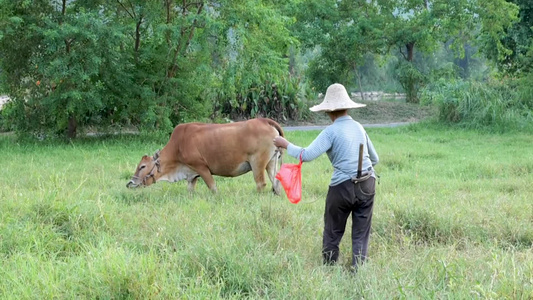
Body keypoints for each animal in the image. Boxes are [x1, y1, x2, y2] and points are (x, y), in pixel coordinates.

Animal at [125, 118, 282, 193]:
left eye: (142, 166)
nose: (130, 183)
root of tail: (264, 120)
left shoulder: (201, 167)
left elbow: (213, 188)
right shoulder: (192, 175)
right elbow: (190, 189)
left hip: (257, 163)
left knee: (261, 184)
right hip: (271, 162)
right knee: (276, 183)